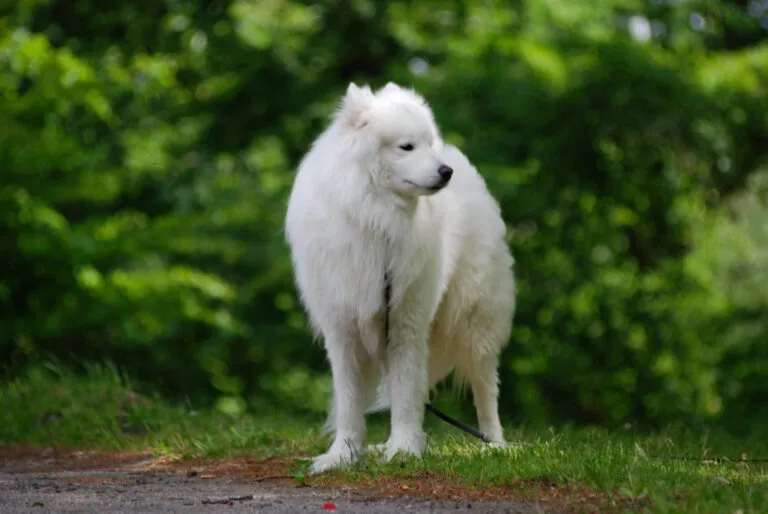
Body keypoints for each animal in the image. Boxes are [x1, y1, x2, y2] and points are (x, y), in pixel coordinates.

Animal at [284, 81, 516, 472]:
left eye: (427, 144)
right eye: (407, 146)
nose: (445, 171)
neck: (378, 219)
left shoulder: (406, 323)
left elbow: (407, 395)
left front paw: (405, 450)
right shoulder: (343, 328)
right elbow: (350, 401)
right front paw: (344, 455)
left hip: (474, 321)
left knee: (485, 388)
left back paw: (494, 444)